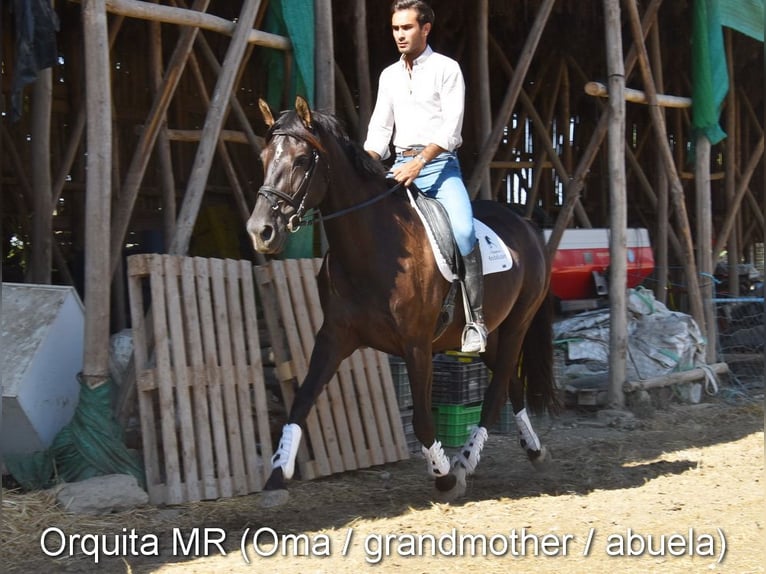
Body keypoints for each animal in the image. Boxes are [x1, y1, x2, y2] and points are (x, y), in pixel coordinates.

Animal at [247, 96, 558, 504]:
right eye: (264, 157)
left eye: (300, 160)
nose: (260, 231)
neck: (374, 248)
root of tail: (525, 222)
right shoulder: (334, 337)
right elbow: (300, 403)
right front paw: (275, 476)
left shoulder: (416, 344)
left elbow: (423, 419)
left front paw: (444, 476)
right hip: (490, 334)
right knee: (511, 385)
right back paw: (534, 450)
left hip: (517, 324)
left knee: (496, 393)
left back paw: (464, 463)